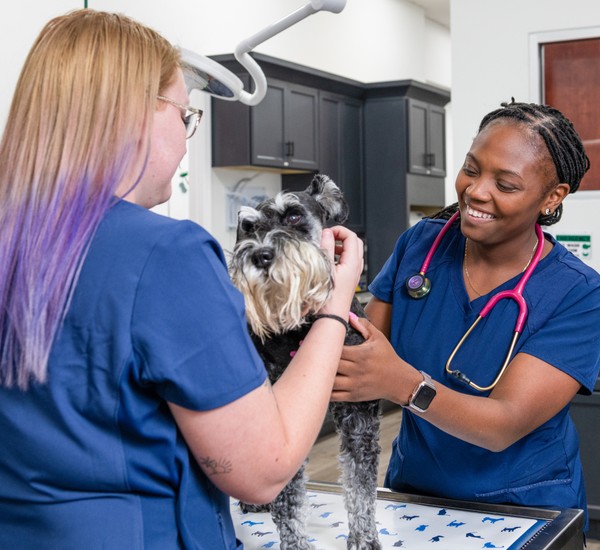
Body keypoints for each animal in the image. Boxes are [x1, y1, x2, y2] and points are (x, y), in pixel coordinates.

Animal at [229, 175, 380, 548]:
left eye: (294, 216)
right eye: (249, 228)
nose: (262, 255)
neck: (302, 328)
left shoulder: (359, 417)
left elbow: (360, 486)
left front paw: (364, 537)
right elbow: (288, 501)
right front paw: (295, 542)